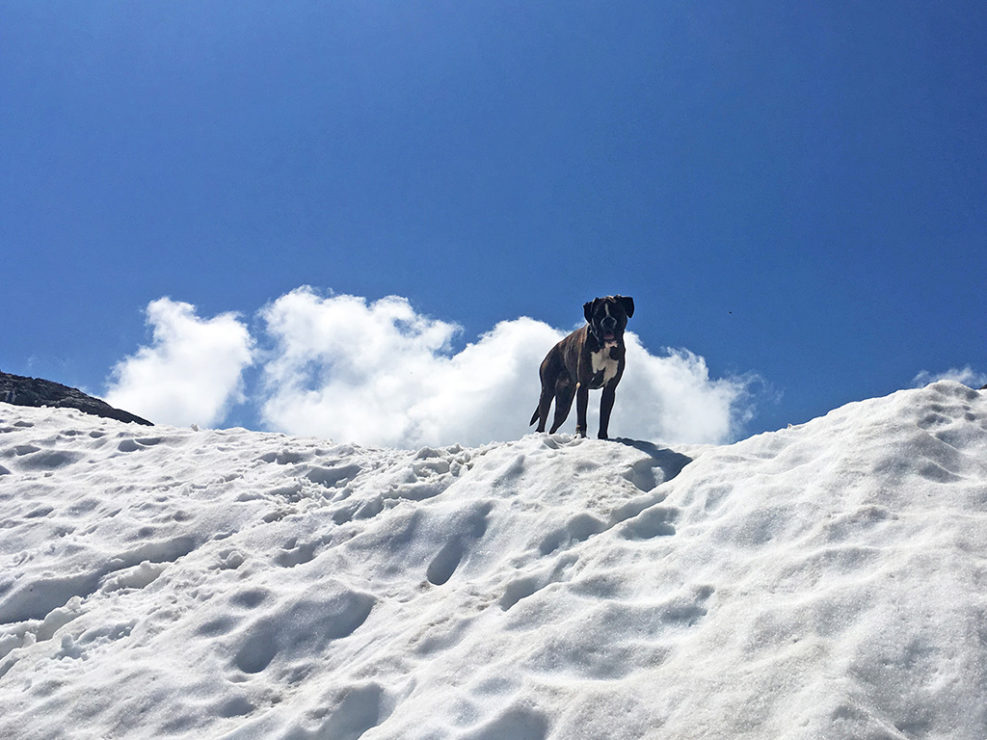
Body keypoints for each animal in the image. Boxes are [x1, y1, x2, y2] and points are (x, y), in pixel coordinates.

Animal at [528, 294, 636, 440]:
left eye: (617, 312)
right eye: (598, 315)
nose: (608, 320)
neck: (604, 347)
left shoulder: (609, 389)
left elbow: (604, 417)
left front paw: (603, 437)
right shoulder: (583, 386)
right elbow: (582, 415)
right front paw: (581, 435)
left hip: (564, 403)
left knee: (554, 425)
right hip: (548, 393)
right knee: (542, 421)